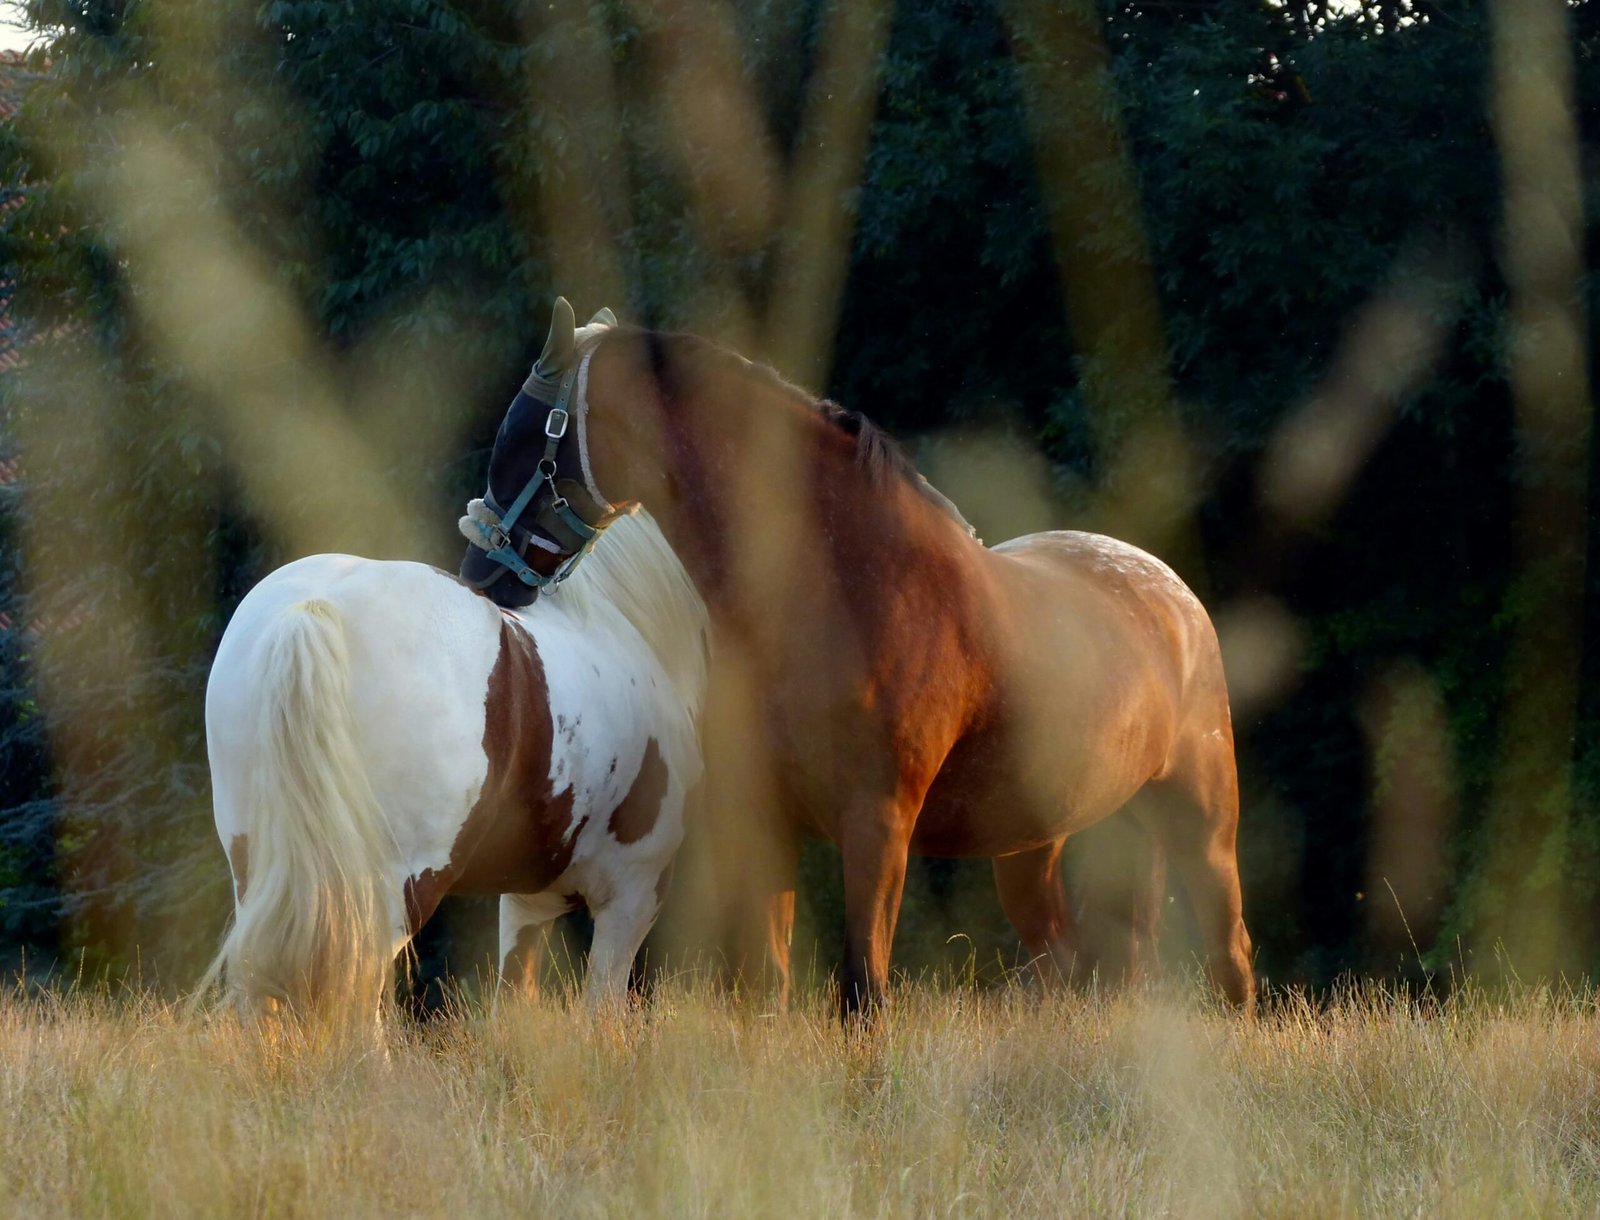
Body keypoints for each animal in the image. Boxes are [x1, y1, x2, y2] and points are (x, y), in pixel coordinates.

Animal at [460, 299, 1248, 1011]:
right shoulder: (767, 824)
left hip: (1203, 827)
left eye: (524, 435)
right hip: (1035, 847)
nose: (479, 574)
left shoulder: (878, 823)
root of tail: (1169, 590)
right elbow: (768, 985)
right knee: (1074, 961)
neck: (843, 591)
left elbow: (862, 989)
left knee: (1230, 957)